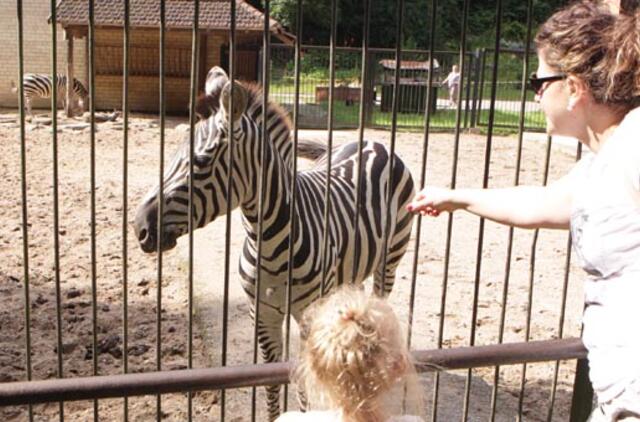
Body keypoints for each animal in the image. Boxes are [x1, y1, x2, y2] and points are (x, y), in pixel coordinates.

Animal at [132, 66, 418, 418]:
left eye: (200, 162)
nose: (140, 227)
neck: (267, 242)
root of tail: (373, 141)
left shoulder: (308, 315)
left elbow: (306, 385)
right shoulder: (262, 313)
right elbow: (269, 378)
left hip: (390, 258)